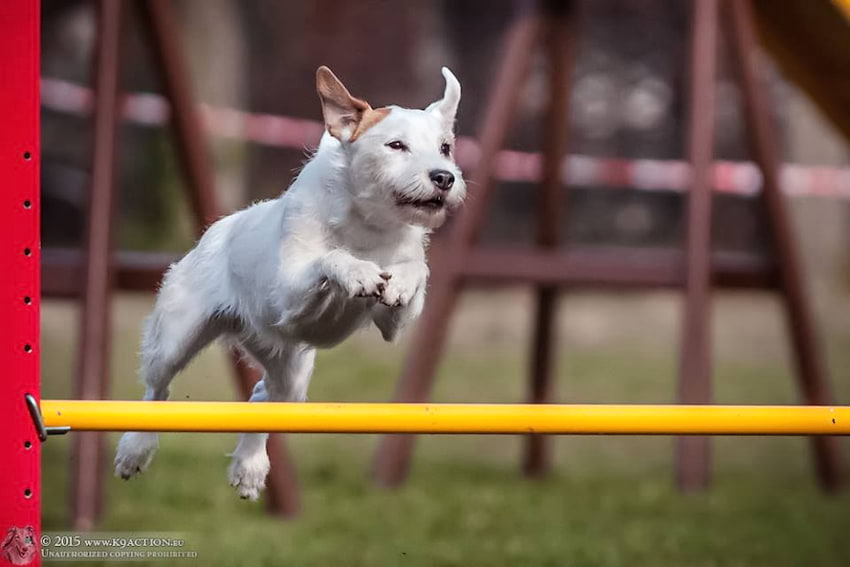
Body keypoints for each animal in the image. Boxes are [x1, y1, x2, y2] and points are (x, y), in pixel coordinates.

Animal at [112, 67, 464, 502]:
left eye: (446, 147)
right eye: (396, 145)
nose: (444, 177)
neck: (367, 224)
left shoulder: (390, 322)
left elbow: (415, 273)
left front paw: (400, 280)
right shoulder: (289, 293)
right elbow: (329, 258)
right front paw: (357, 271)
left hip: (289, 374)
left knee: (263, 396)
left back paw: (249, 467)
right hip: (176, 339)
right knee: (156, 391)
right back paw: (135, 450)